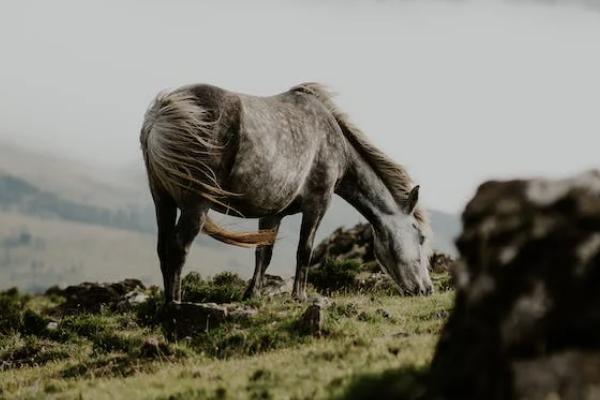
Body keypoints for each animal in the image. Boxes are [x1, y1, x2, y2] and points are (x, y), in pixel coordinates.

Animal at [139, 83, 432, 304]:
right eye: (420, 236)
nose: (427, 289)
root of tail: (161, 114)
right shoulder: (318, 203)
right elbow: (305, 250)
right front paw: (299, 296)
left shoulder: (273, 213)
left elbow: (263, 254)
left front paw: (252, 294)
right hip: (195, 204)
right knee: (179, 247)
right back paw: (175, 303)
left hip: (162, 201)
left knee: (163, 248)